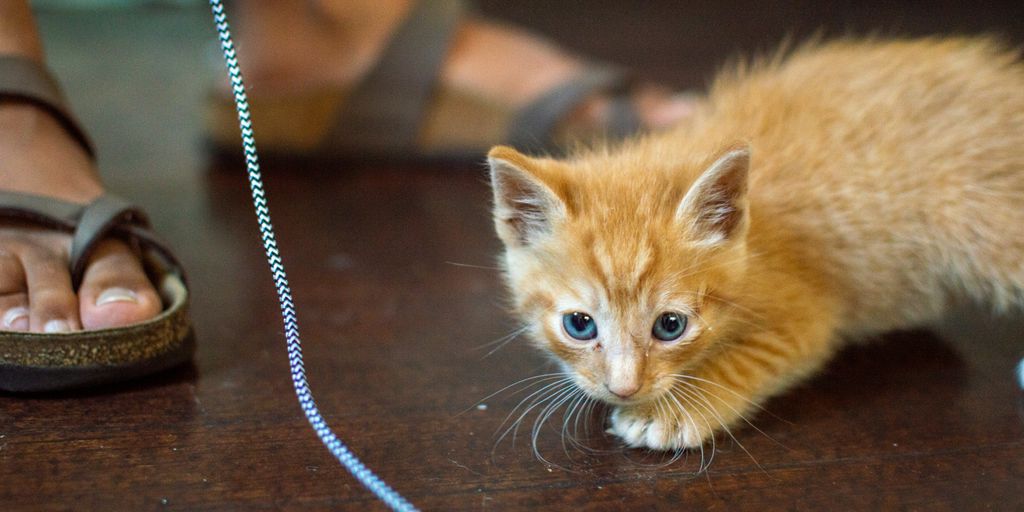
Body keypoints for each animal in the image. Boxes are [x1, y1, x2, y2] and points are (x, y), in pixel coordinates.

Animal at [487, 37, 1024, 450]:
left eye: (670, 326)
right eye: (579, 325)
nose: (624, 388)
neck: (753, 241)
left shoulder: (807, 314)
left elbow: (747, 357)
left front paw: (673, 409)